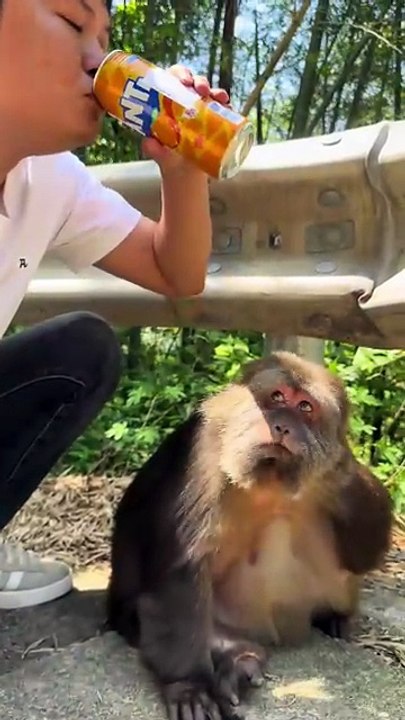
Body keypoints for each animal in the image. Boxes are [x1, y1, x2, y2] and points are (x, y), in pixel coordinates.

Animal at [106, 350, 393, 720]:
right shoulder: (202, 456)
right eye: (277, 398)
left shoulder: (327, 481)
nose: (281, 427)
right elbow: (181, 573)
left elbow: (363, 554)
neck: (269, 483)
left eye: (305, 407)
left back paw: (329, 618)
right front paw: (188, 685)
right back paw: (239, 657)